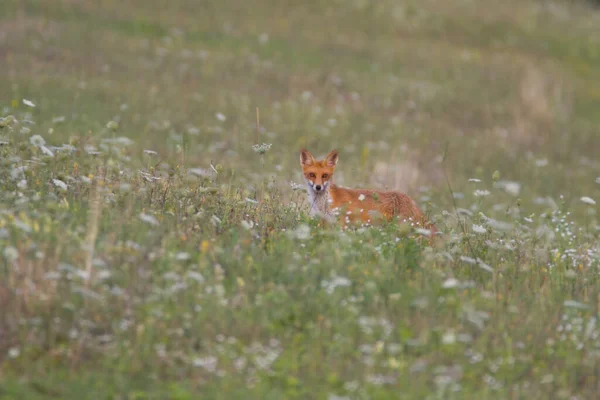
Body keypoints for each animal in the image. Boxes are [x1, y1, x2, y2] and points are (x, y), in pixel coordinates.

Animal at [302, 149, 438, 238]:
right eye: (312, 174)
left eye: (325, 175)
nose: (318, 187)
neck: (325, 203)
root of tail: (410, 199)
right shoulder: (325, 223)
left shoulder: (342, 224)